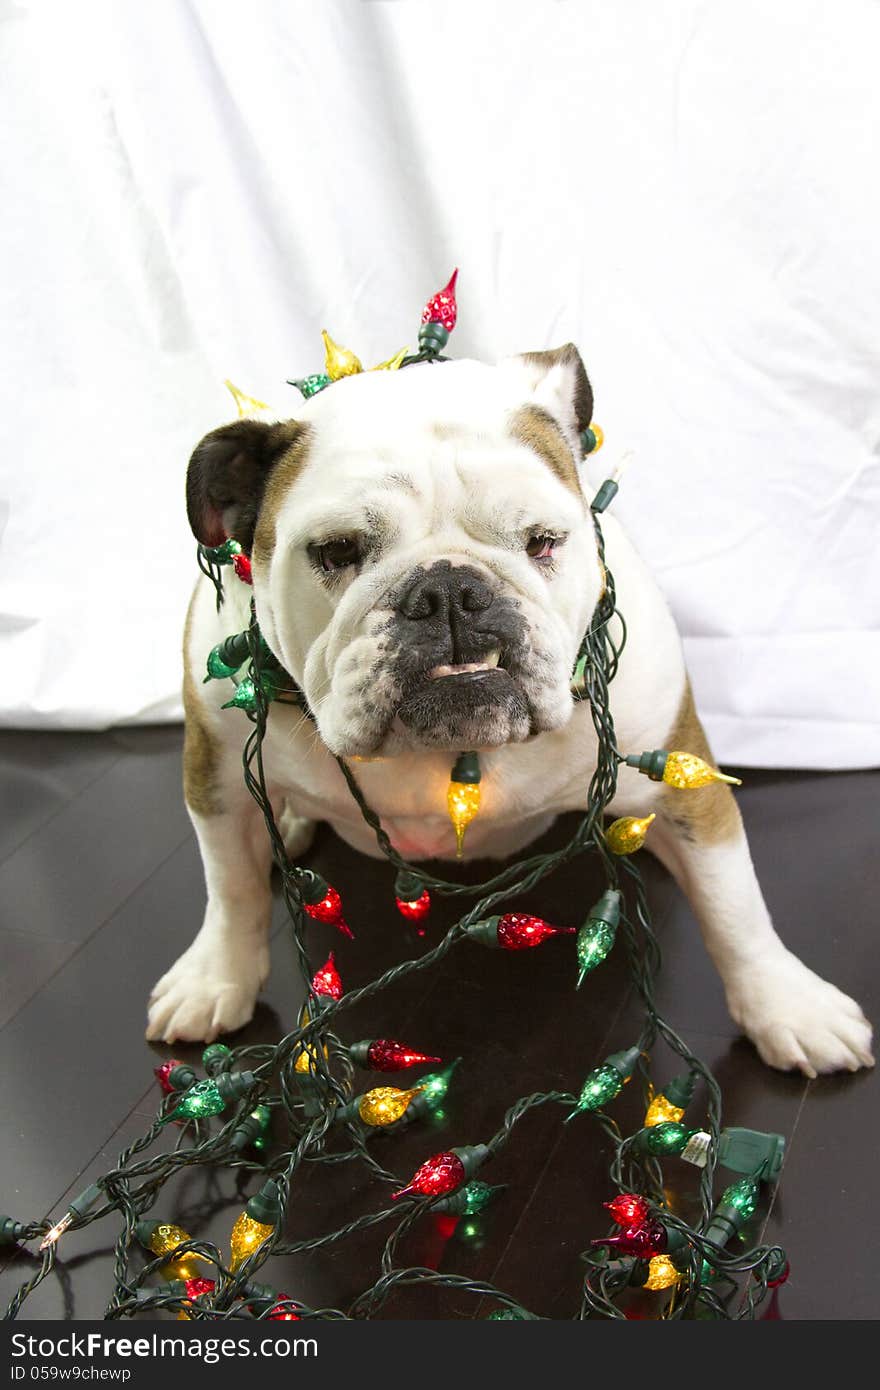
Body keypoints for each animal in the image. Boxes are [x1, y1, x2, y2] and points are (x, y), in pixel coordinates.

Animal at [145, 341, 873, 1078]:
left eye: (543, 540)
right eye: (339, 550)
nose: (448, 591)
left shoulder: (682, 777)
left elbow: (734, 903)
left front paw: (788, 1006)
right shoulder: (216, 776)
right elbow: (230, 891)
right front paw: (214, 981)